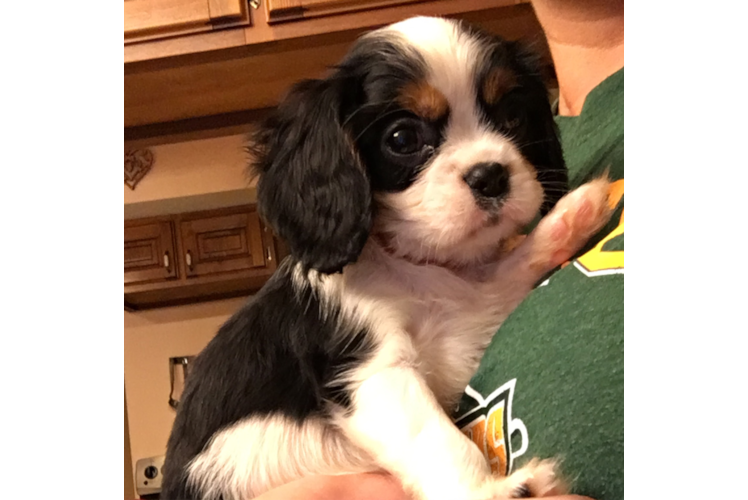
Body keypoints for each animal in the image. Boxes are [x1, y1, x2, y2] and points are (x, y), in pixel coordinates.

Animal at [164, 15, 612, 500]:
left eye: (513, 116)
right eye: (402, 138)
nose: (491, 175)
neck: (418, 265)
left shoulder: (466, 321)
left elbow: (502, 278)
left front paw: (570, 218)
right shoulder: (373, 372)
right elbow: (440, 438)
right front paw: (491, 491)